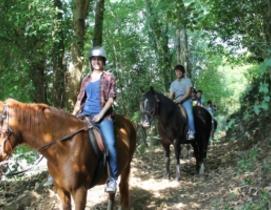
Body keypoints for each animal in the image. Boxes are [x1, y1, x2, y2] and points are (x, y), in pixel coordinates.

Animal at [0, 99, 136, 210]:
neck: (63, 149)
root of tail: (128, 123)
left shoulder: (80, 191)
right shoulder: (61, 190)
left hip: (127, 166)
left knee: (123, 187)